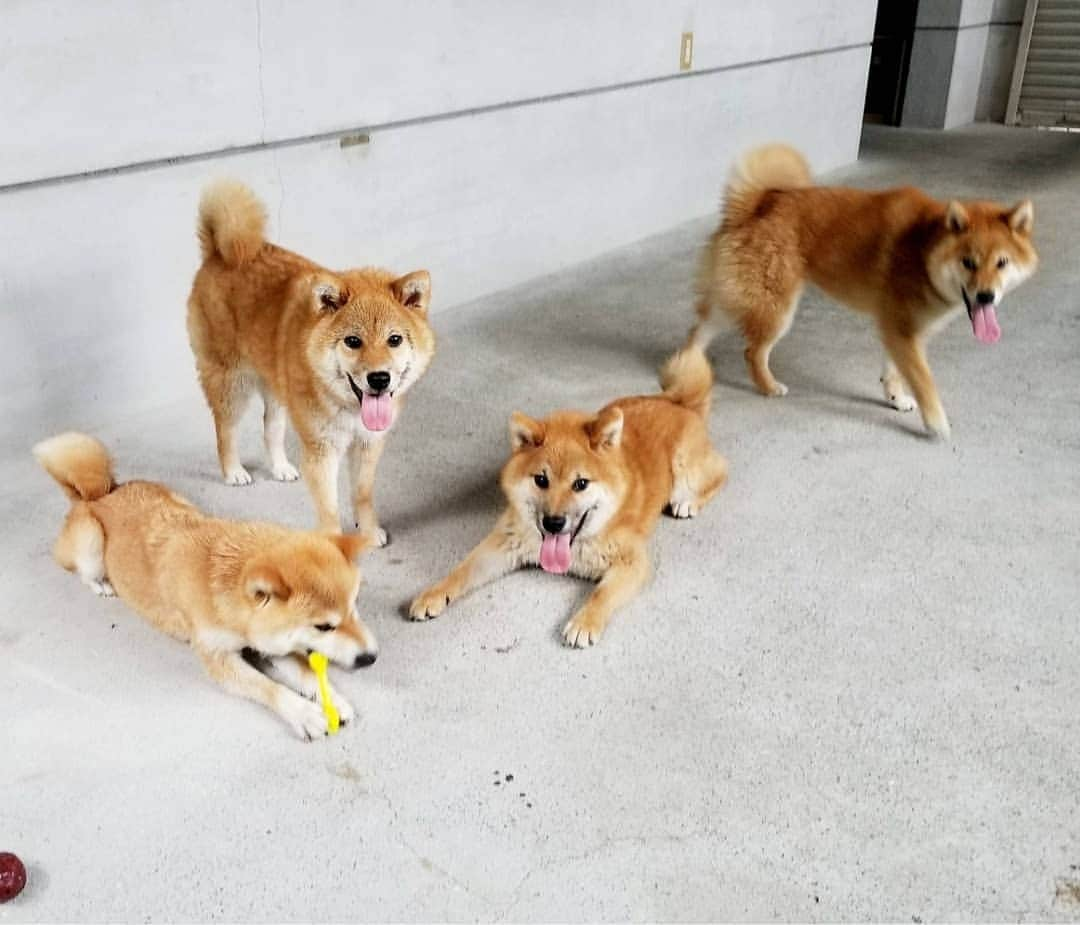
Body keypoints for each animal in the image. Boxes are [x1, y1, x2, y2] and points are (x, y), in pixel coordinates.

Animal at [33, 434, 378, 743]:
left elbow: (306, 673)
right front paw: (305, 714)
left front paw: (334, 700)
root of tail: (98, 495)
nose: (371, 658)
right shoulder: (218, 658)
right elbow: (269, 688)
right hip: (91, 543)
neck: (226, 595)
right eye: (324, 626)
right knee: (85, 571)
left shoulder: (269, 643)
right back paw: (103, 584)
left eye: (354, 609)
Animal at [186, 180, 434, 542]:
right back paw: (233, 471)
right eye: (353, 341)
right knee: (225, 430)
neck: (349, 408)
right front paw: (332, 544)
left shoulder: (368, 445)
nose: (379, 378)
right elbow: (328, 508)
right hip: (231, 382)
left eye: (395, 340)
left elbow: (361, 495)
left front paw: (368, 531)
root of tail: (219, 253)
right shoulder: (322, 450)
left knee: (271, 428)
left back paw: (280, 467)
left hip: (276, 386)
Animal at [408, 350, 730, 648]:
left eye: (581, 484)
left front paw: (585, 621)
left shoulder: (632, 562)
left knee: (720, 472)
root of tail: (678, 403)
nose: (553, 523)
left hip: (684, 468)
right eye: (541, 480)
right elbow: (461, 570)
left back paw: (688, 503)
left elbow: (602, 593)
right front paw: (433, 593)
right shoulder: (505, 542)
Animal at [682, 142, 1036, 438]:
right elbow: (924, 381)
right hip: (777, 308)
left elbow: (894, 371)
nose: (986, 296)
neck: (923, 250)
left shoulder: (900, 330)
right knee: (753, 352)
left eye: (1002, 263)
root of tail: (755, 203)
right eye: (968, 262)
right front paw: (936, 422)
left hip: (737, 294)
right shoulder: (902, 330)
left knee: (701, 329)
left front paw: (895, 397)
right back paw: (768, 386)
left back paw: (687, 365)